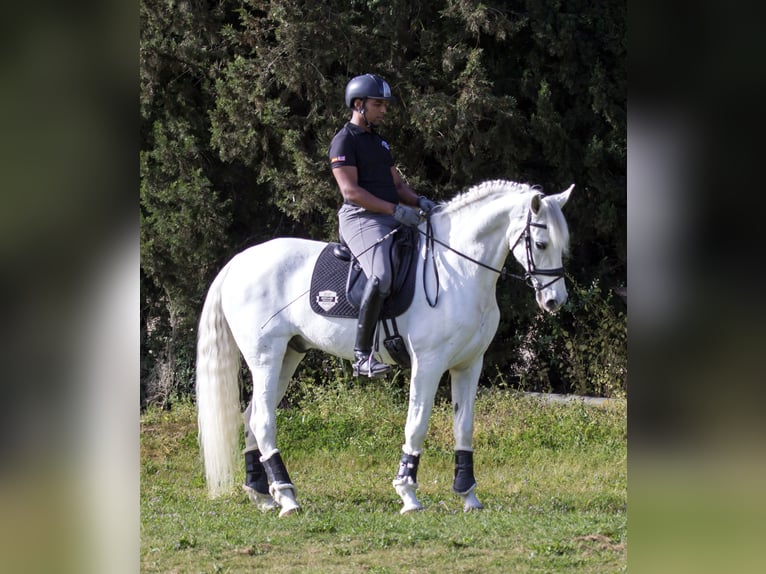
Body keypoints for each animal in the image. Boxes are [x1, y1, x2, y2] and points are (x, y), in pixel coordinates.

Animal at [196, 179, 573, 516]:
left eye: (561, 245)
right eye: (540, 243)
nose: (554, 301)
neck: (460, 271)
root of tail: (238, 262)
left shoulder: (469, 364)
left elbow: (464, 426)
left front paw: (468, 495)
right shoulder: (429, 363)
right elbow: (417, 424)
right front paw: (408, 494)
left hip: (290, 353)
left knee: (251, 416)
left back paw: (262, 495)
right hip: (266, 356)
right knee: (262, 419)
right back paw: (287, 499)